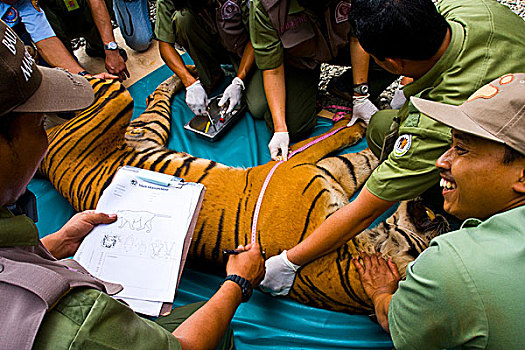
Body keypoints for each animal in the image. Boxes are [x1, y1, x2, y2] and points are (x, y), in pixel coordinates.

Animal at [39, 74, 448, 314]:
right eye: (436, 231)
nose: (441, 210)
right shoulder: (291, 167)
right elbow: (338, 144)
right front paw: (364, 119)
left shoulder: (336, 175)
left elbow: (367, 163)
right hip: (116, 108)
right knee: (99, 85)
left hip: (146, 126)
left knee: (152, 94)